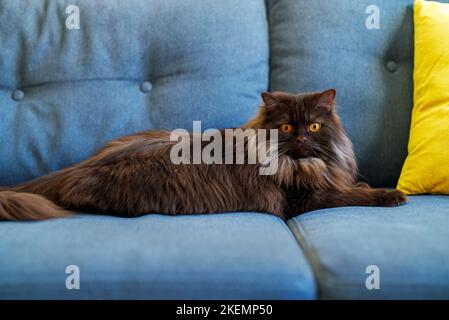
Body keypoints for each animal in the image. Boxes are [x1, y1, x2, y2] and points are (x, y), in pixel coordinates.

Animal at [0, 89, 406, 221]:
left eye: (315, 127)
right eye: (288, 128)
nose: (303, 138)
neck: (301, 163)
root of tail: (78, 166)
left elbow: (350, 185)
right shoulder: (303, 200)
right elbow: (350, 194)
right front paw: (390, 195)